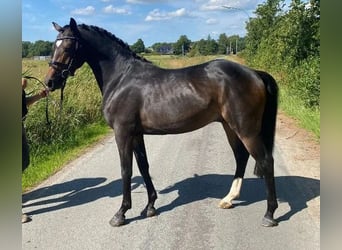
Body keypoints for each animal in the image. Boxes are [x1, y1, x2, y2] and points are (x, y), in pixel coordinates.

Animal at [44, 18, 280, 228]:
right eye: (54, 45)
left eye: (68, 46)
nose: (50, 82)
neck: (122, 78)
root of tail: (255, 73)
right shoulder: (136, 134)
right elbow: (143, 166)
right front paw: (150, 206)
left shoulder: (123, 133)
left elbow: (126, 170)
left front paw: (121, 213)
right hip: (229, 126)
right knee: (241, 157)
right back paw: (229, 199)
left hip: (246, 129)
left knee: (266, 161)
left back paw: (269, 214)